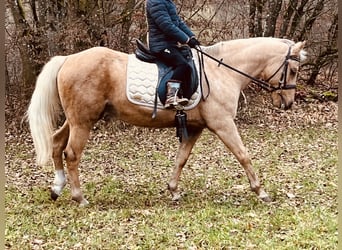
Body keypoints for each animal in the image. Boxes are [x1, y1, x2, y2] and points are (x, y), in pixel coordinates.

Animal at [26, 37, 306, 205]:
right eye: (292, 70)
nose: (288, 103)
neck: (222, 73)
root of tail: (68, 59)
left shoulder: (194, 127)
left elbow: (181, 158)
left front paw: (173, 190)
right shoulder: (223, 124)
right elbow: (243, 155)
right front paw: (261, 191)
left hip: (76, 120)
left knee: (56, 143)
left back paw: (57, 188)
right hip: (83, 122)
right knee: (72, 154)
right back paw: (79, 197)